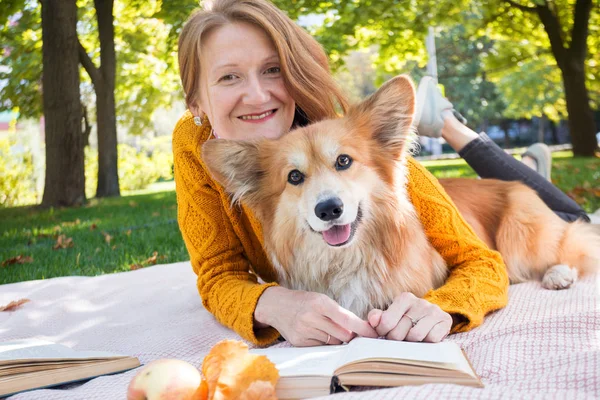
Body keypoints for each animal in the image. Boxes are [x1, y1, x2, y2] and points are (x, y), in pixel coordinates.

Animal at [203, 74, 600, 318]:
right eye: (294, 177)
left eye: (344, 161)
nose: (329, 209)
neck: (350, 259)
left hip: (520, 238)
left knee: (570, 245)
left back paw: (558, 274)